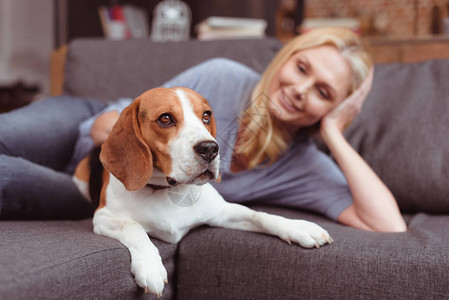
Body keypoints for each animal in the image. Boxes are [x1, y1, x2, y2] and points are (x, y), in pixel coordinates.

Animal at [72, 87, 332, 298]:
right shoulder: (103, 217)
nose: (210, 148)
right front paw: (151, 266)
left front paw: (298, 227)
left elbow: (260, 215)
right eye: (165, 119)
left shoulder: (223, 212)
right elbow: (133, 227)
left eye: (206, 116)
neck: (170, 191)